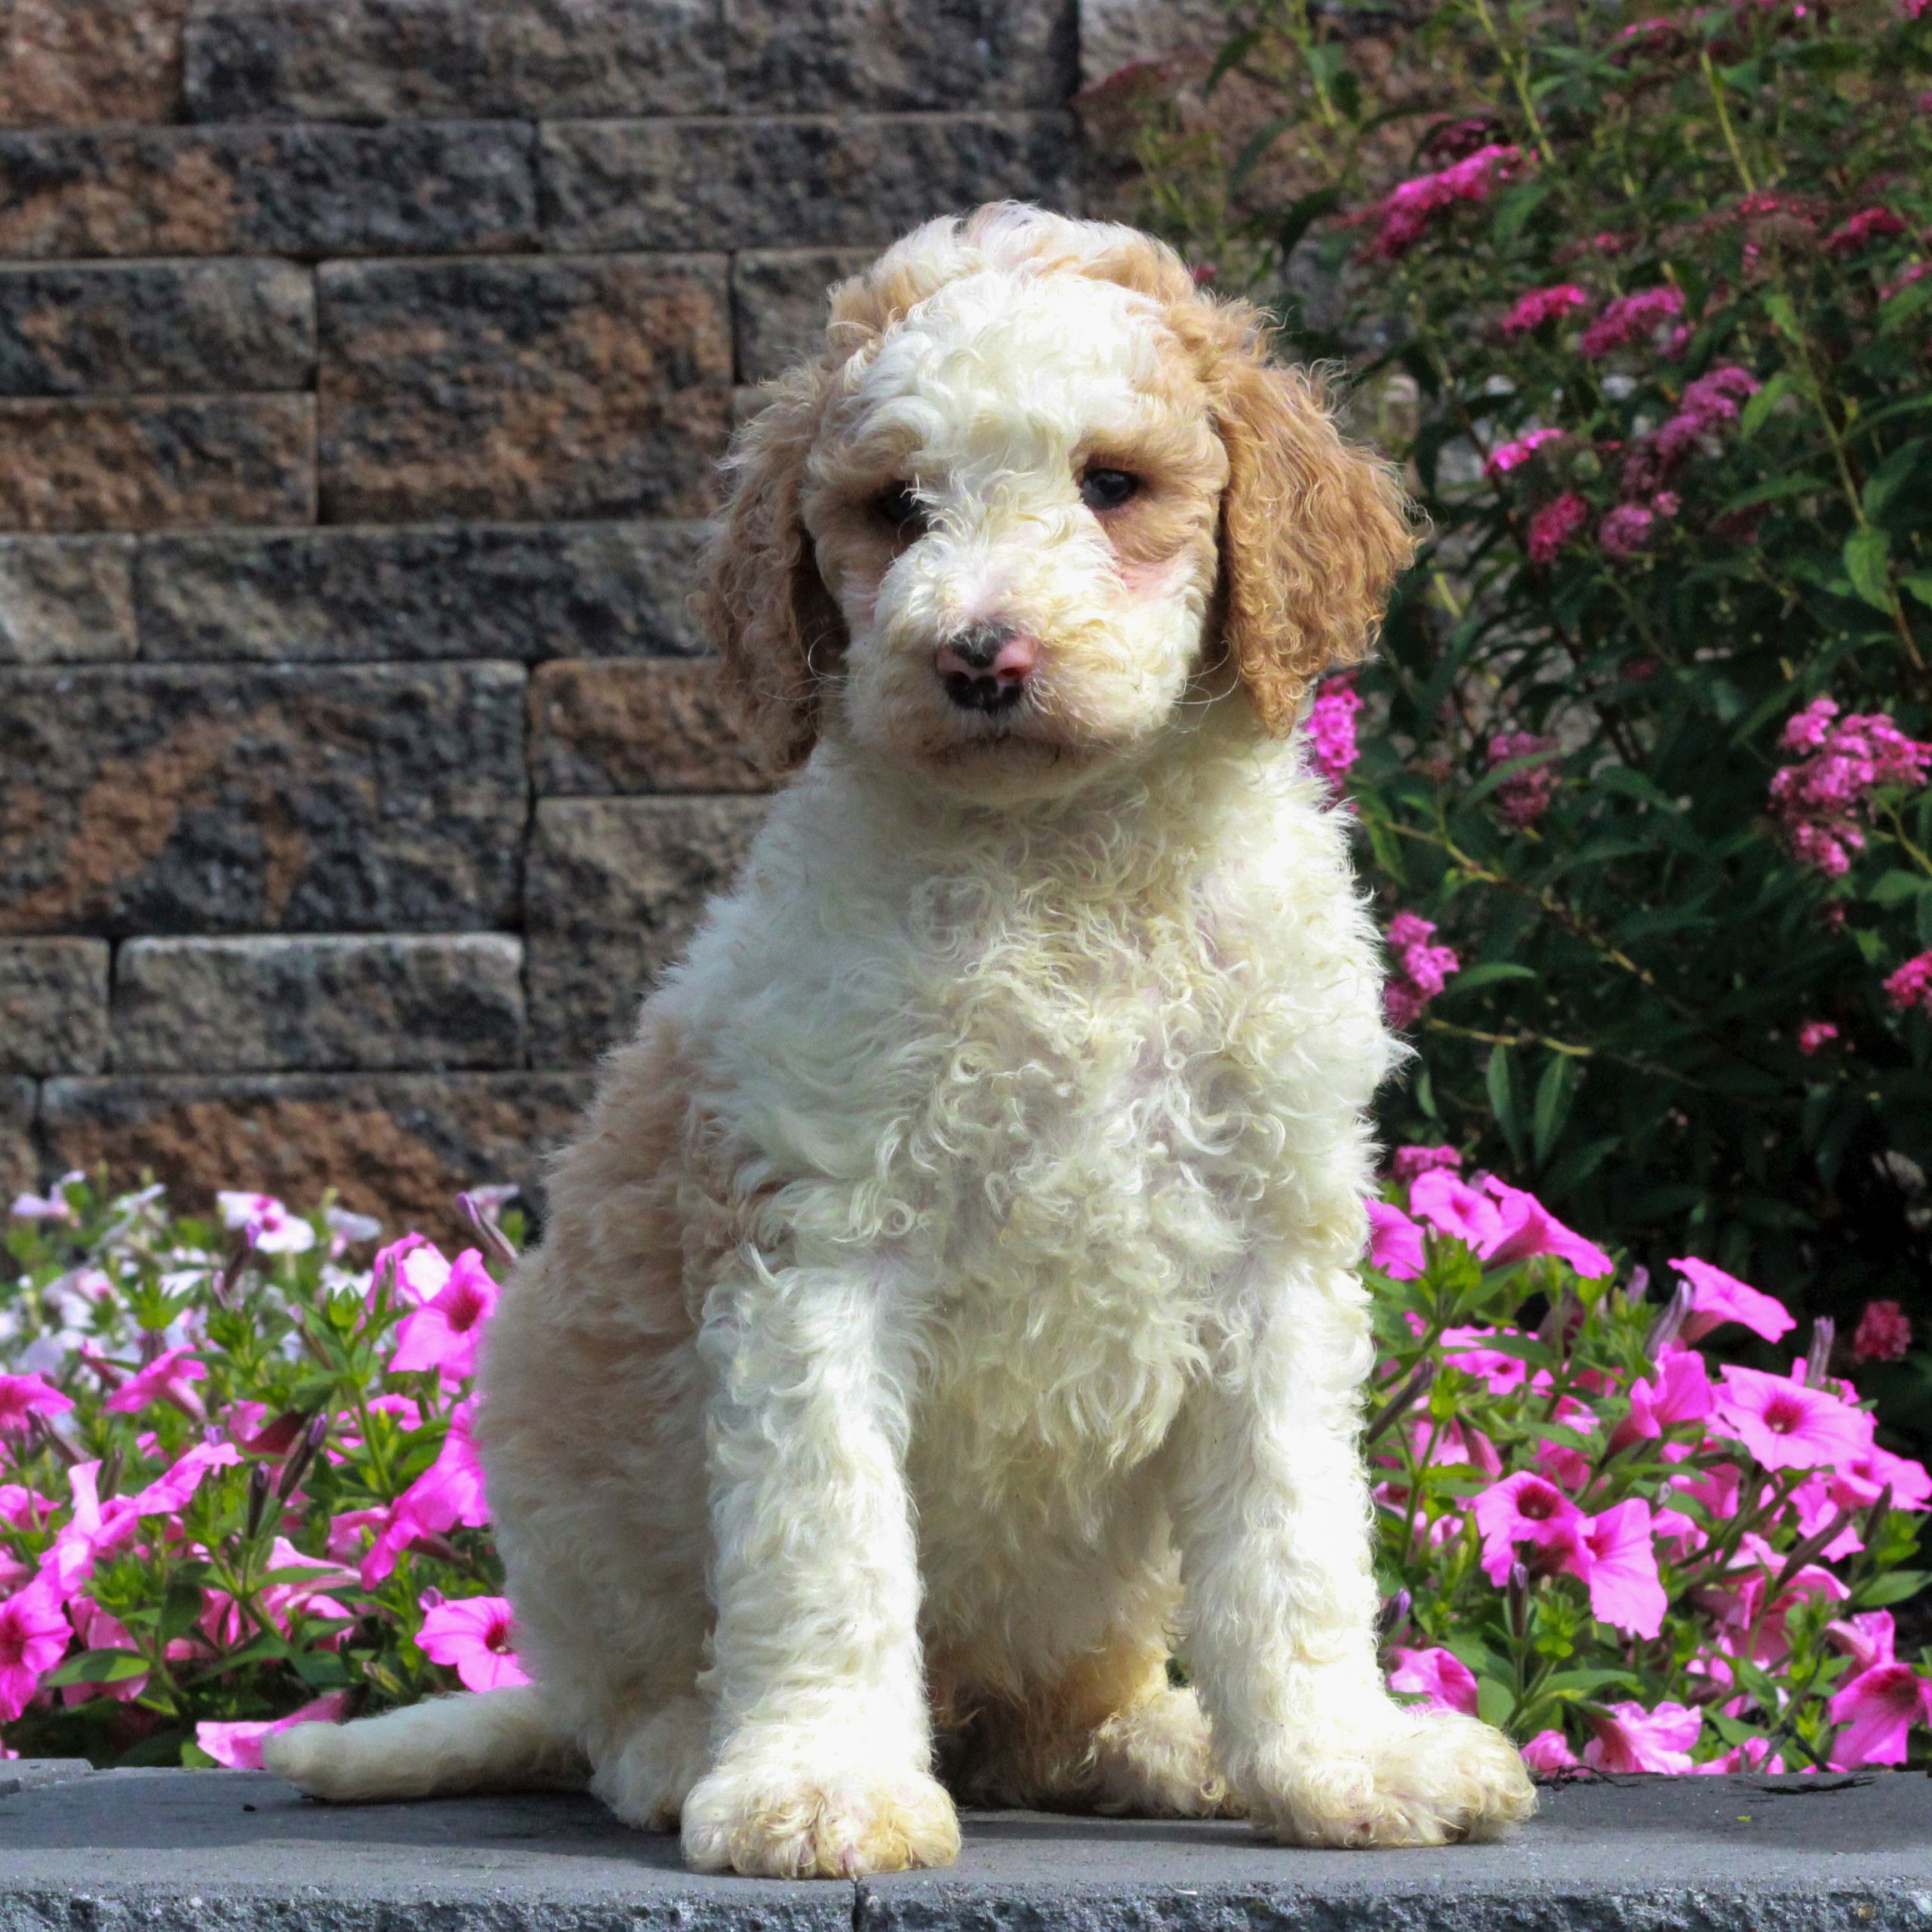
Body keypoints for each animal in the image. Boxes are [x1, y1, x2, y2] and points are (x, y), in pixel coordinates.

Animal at [265, 203, 1536, 1876]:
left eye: (1110, 484)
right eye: (896, 505)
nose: (979, 657)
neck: (1058, 861)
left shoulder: (1274, 1250)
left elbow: (1296, 1536)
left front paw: (1342, 1757)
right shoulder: (812, 1246)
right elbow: (830, 1540)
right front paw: (819, 1783)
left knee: (1060, 1714)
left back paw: (1159, 1740)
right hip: (569, 1506)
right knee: (618, 1709)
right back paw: (691, 1747)